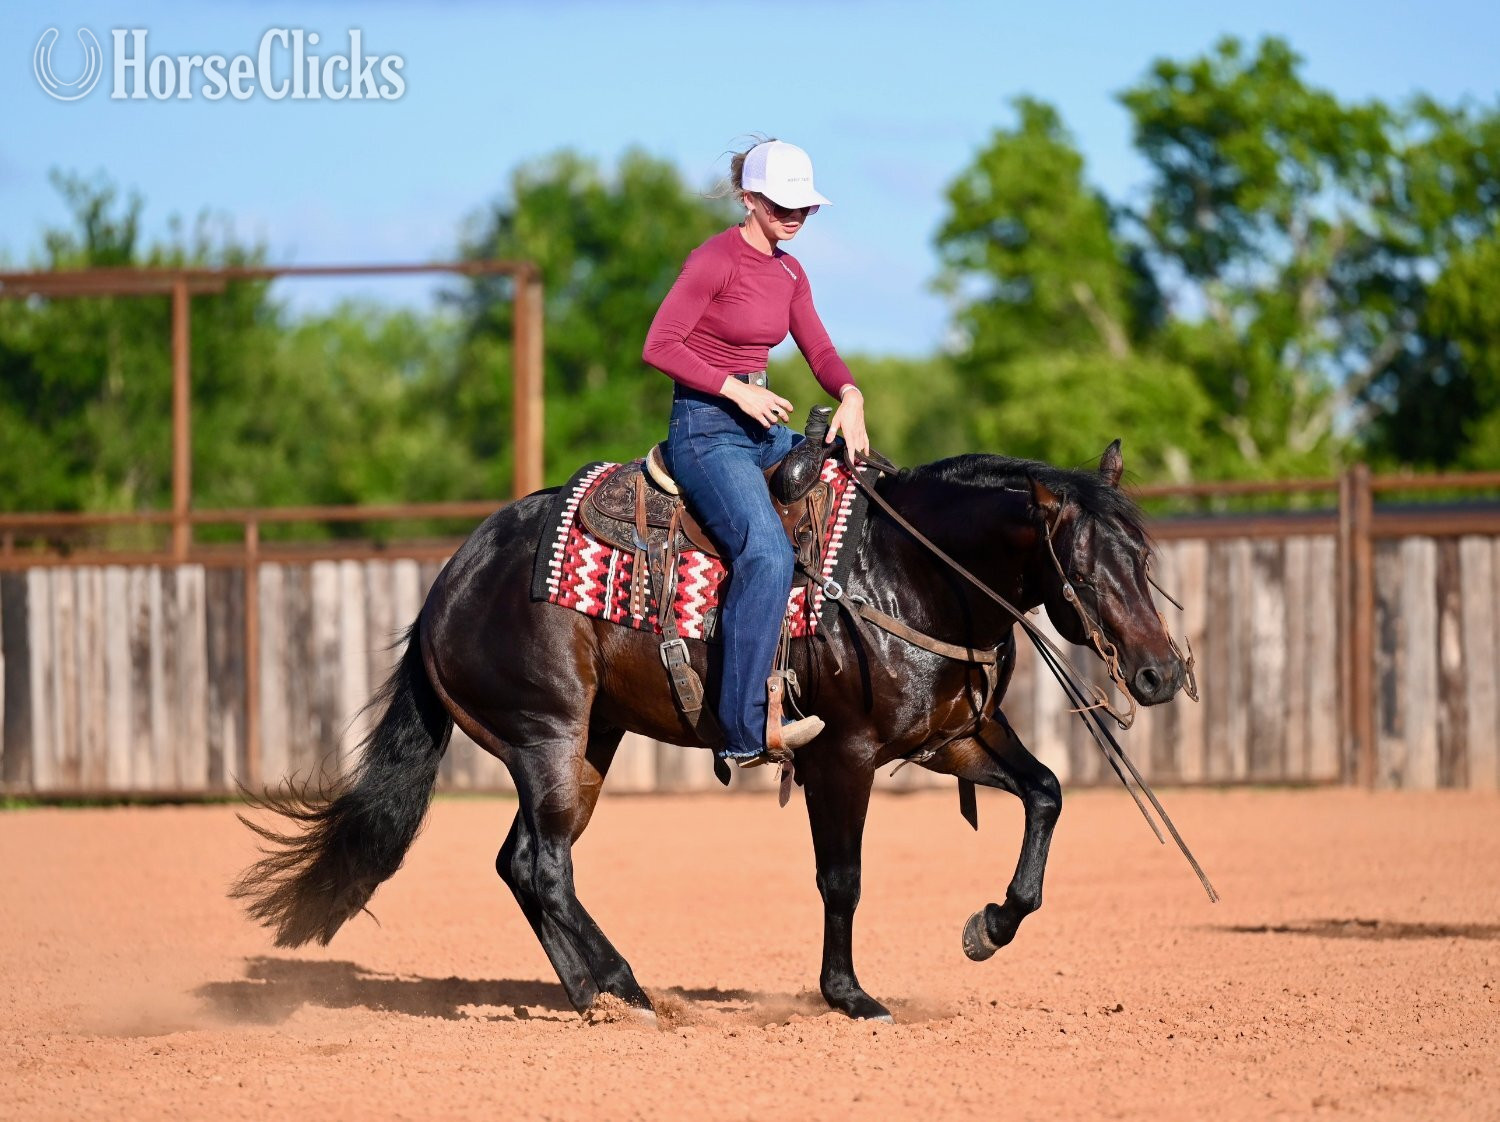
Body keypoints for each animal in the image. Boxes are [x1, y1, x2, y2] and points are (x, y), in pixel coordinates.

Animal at [232, 438, 1188, 1024]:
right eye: (1085, 570)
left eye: (1143, 558)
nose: (1160, 673)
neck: (911, 572)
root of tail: (448, 582)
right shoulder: (843, 756)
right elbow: (841, 878)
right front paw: (849, 994)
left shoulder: (953, 735)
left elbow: (1046, 793)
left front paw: (990, 926)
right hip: (547, 736)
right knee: (543, 864)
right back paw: (626, 988)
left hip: (590, 744)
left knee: (524, 862)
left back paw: (598, 997)